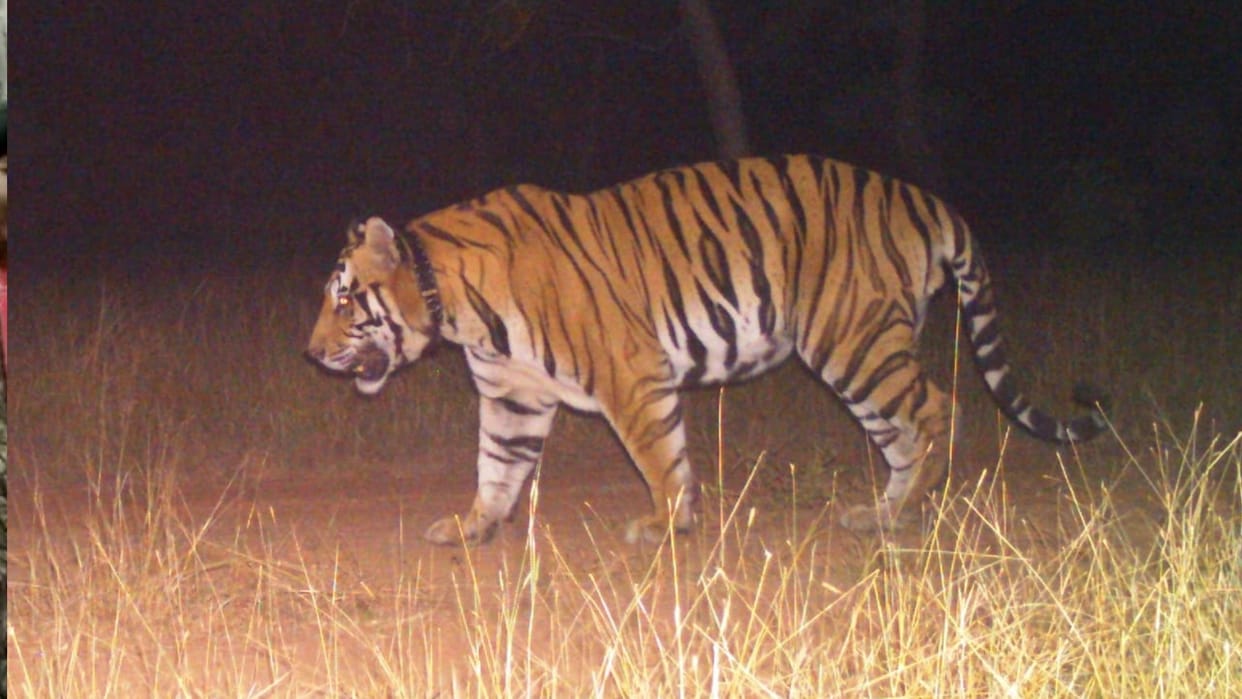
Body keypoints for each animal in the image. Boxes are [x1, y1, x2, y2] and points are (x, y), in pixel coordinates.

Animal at [306, 155, 1107, 545]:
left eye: (344, 299)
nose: (310, 354)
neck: (455, 302)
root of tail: (922, 197)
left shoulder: (631, 375)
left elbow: (661, 457)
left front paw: (668, 524)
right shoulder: (513, 395)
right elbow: (498, 468)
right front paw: (473, 527)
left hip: (853, 340)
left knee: (936, 410)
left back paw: (913, 510)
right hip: (862, 349)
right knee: (902, 432)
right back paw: (881, 513)